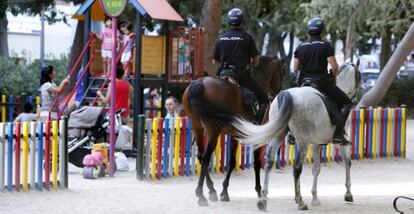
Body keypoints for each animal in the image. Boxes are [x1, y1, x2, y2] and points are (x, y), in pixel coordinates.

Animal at [183, 55, 286, 206]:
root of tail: (199, 83)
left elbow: (231, 161)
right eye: (282, 72)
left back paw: (211, 190)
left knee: (201, 156)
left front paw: (223, 191)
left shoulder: (235, 135)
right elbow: (255, 163)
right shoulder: (256, 136)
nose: (278, 93)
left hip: (198, 128)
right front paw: (258, 190)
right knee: (206, 157)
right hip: (213, 130)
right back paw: (201, 195)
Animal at [234, 63, 360, 211]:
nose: (356, 100)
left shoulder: (316, 143)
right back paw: (300, 202)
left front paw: (315, 198)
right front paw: (348, 194)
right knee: (297, 168)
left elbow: (316, 168)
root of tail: (287, 94)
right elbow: (347, 162)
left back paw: (263, 201)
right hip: (303, 142)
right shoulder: (339, 142)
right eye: (358, 78)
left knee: (269, 162)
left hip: (278, 136)